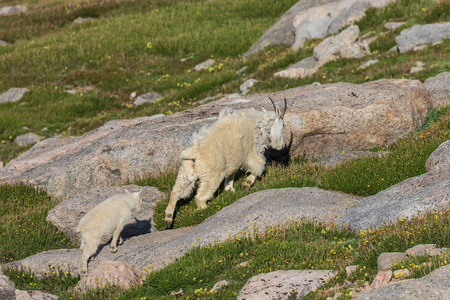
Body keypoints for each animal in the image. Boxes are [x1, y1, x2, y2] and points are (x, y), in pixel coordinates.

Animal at [163, 98, 286, 227]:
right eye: (283, 125)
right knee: (199, 197)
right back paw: (206, 210)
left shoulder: (234, 160)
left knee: (175, 192)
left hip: (186, 172)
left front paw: (230, 189)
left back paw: (168, 219)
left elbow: (231, 175)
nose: (282, 145)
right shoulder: (252, 152)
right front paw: (246, 184)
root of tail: (194, 153)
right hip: (212, 175)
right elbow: (259, 166)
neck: (261, 121)